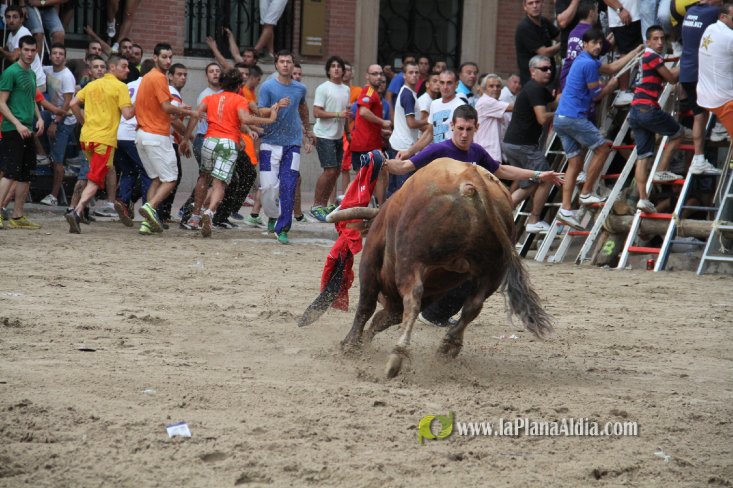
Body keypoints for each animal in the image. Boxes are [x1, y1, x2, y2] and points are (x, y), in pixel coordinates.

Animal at [330, 157, 554, 378]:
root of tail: (470, 180)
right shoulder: (434, 289)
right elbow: (383, 318)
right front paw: (362, 342)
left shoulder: (371, 260)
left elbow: (366, 307)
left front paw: (351, 344)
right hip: (492, 271)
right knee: (473, 306)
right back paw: (447, 347)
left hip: (411, 258)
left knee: (412, 299)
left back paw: (397, 355)